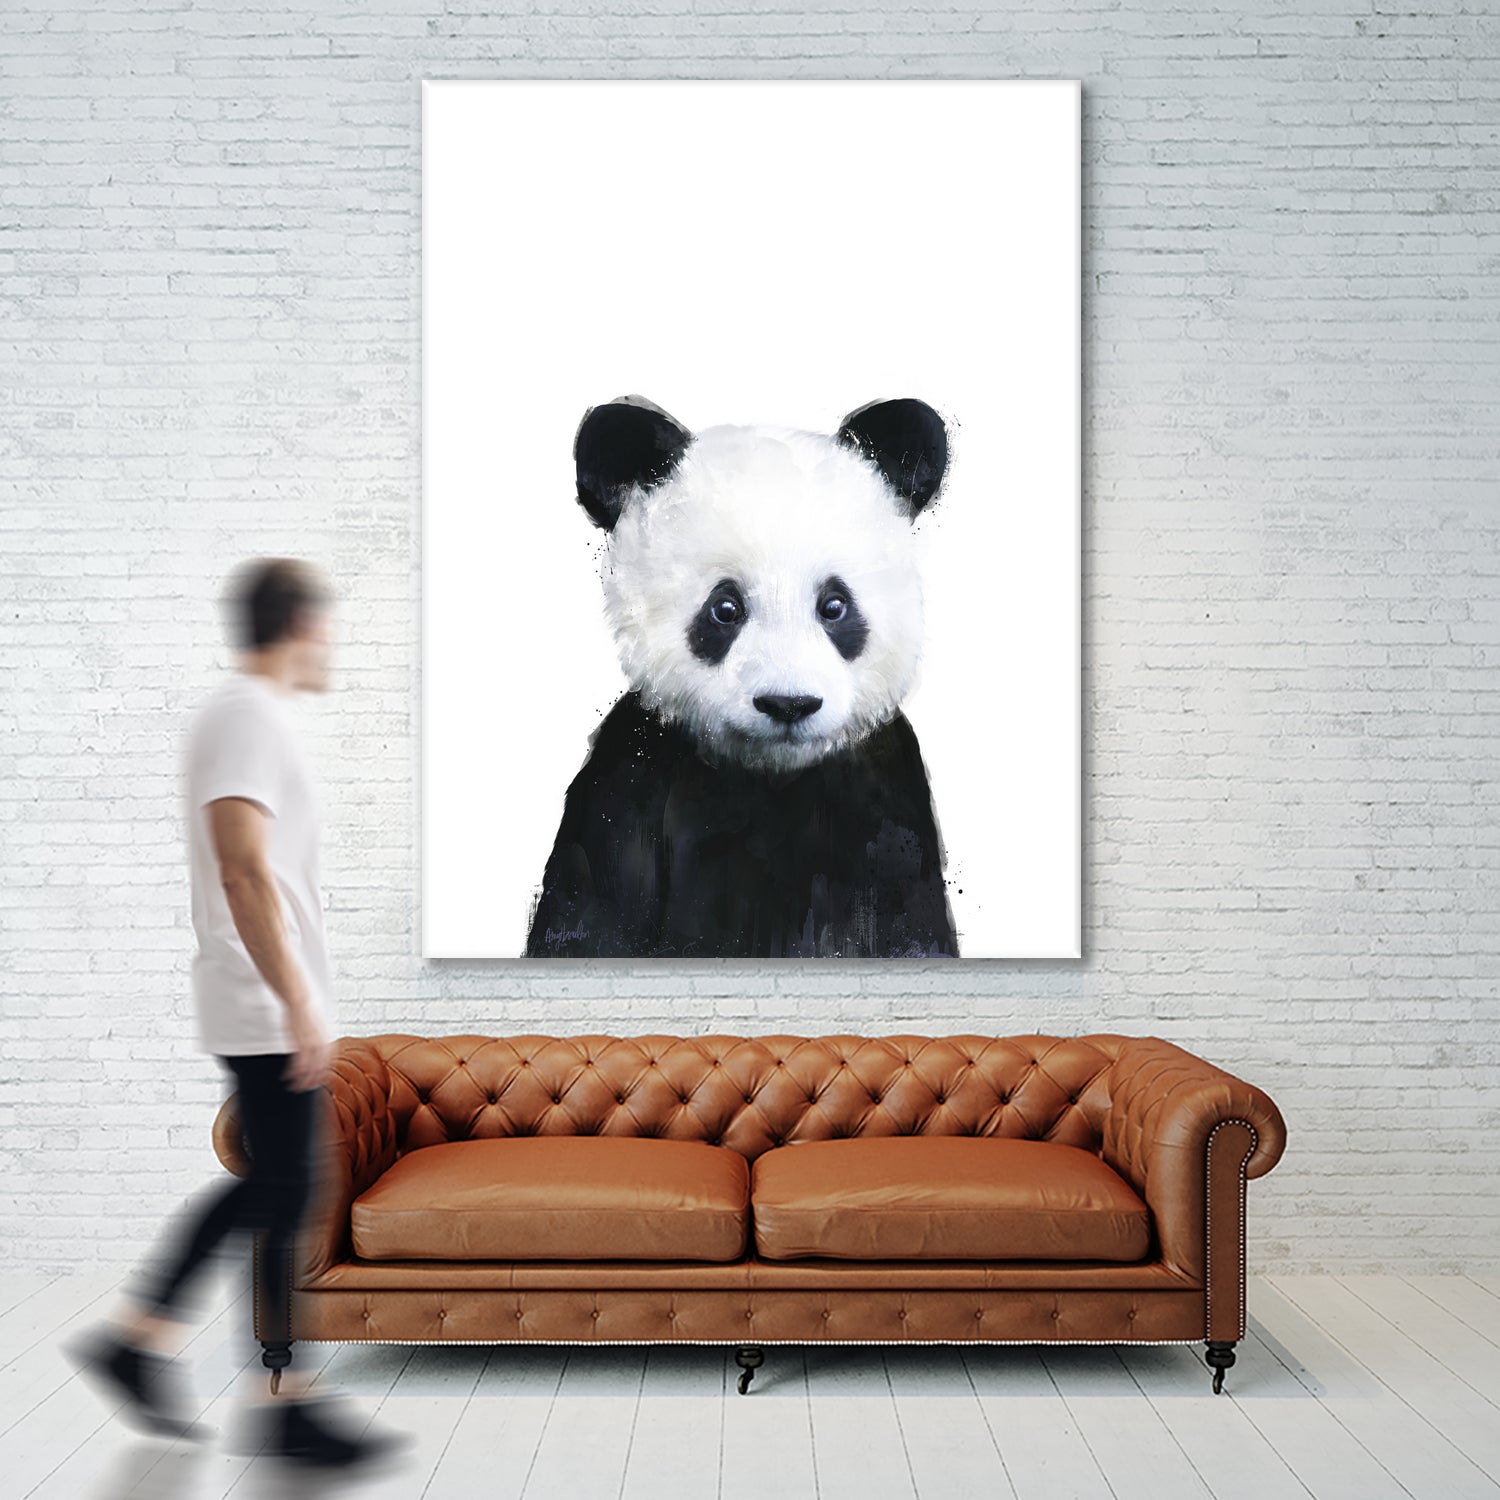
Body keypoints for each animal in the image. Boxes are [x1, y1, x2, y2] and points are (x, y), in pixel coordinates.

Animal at [524, 394, 959, 959]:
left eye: (834, 606)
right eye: (725, 608)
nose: (788, 704)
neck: (771, 776)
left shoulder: (885, 801)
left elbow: (909, 925)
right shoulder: (630, 781)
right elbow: (591, 916)